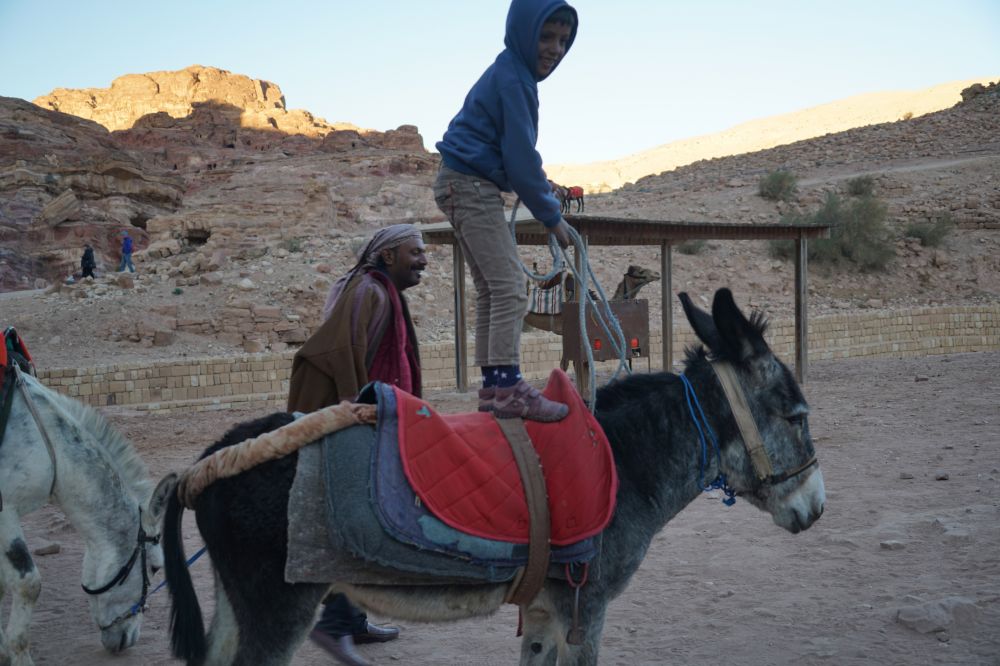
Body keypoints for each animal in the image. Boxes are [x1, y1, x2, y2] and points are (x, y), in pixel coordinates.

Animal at [0, 362, 173, 665]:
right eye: (155, 567)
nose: (130, 640)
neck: (51, 446)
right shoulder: (6, 509)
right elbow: (28, 583)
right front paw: (18, 653)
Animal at [162, 288, 825, 665]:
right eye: (796, 416)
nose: (816, 509)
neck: (624, 462)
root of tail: (212, 458)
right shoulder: (586, 611)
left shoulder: (545, 615)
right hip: (278, 609)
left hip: (237, 603)